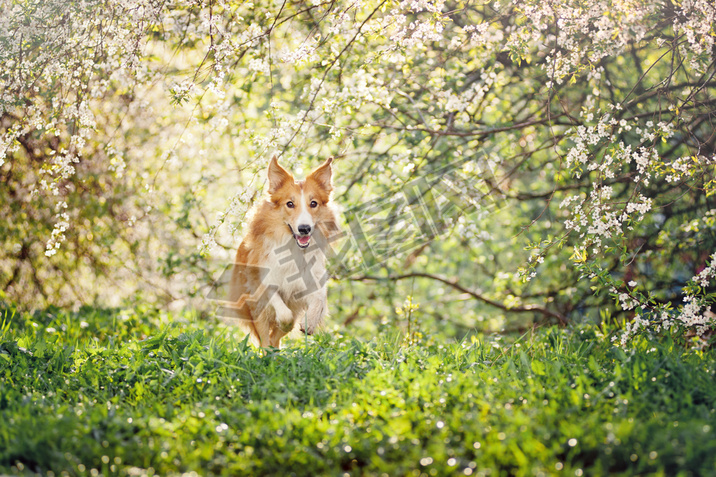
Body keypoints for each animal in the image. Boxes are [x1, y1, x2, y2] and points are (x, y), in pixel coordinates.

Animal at [229, 156, 342, 346]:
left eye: (313, 203)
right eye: (290, 203)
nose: (304, 229)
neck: (294, 249)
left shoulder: (311, 280)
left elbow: (320, 298)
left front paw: (310, 322)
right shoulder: (263, 280)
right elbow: (283, 312)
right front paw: (283, 321)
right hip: (256, 309)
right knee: (266, 339)